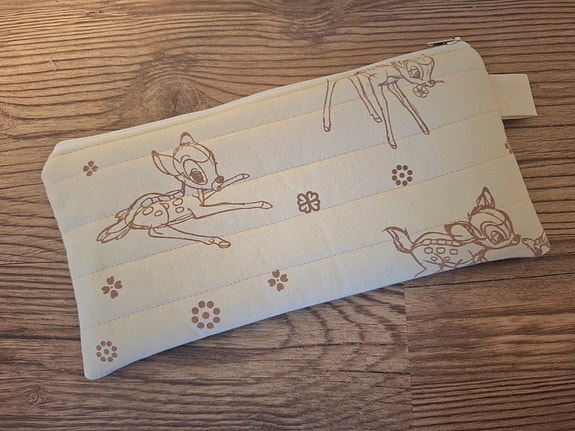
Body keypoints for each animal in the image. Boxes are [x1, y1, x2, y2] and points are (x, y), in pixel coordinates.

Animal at [97, 132, 272, 248]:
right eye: (196, 175)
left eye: (215, 162)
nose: (219, 179)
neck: (193, 195)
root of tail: (132, 219)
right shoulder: (199, 210)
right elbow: (225, 205)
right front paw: (262, 203)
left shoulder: (204, 196)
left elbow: (216, 191)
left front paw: (241, 176)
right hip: (160, 219)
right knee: (156, 232)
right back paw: (216, 240)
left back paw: (121, 214)